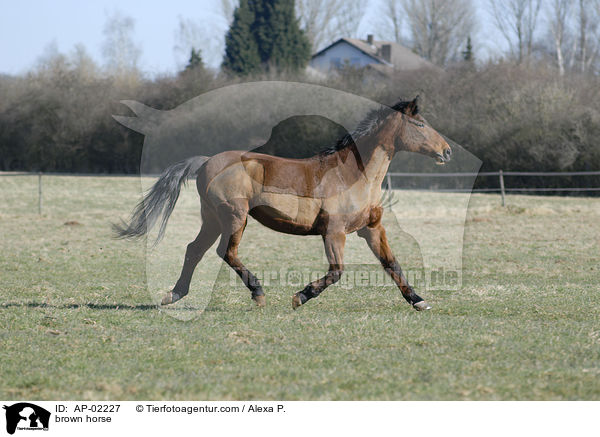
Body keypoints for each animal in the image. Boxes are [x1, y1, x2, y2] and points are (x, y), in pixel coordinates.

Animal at [115, 97, 450, 310]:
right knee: (225, 252)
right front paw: (300, 297)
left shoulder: (371, 229)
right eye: (420, 125)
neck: (356, 175)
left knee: (194, 250)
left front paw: (418, 300)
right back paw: (258, 293)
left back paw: (174, 295)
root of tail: (207, 161)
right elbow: (337, 271)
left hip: (212, 219)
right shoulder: (334, 232)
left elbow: (392, 264)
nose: (446, 151)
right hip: (234, 217)